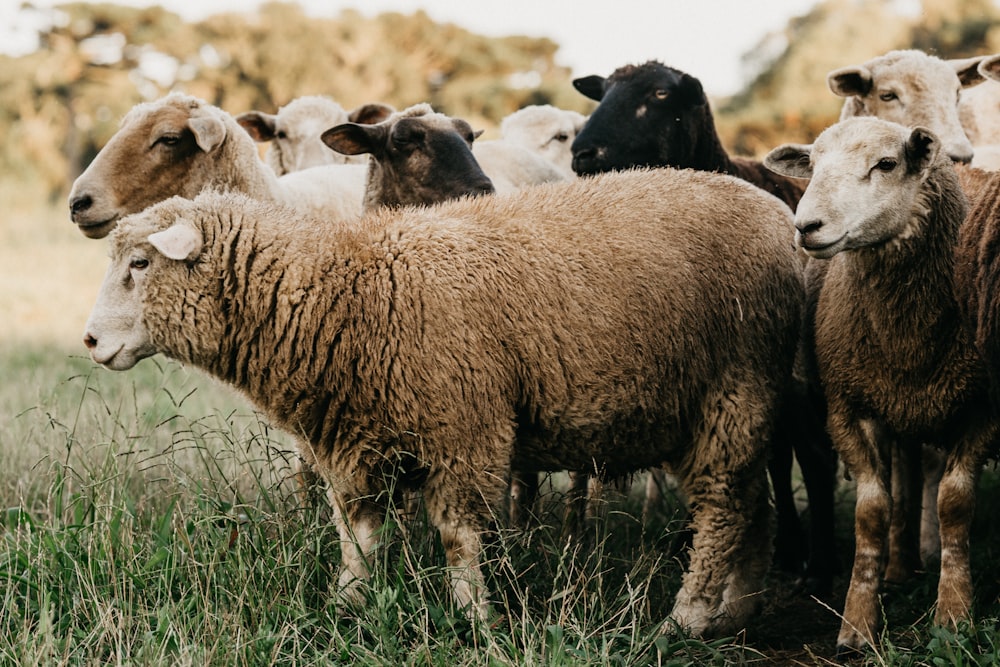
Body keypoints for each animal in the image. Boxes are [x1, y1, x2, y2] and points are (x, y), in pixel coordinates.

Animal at [84, 167, 804, 636]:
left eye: (141, 264)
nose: (90, 340)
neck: (350, 294)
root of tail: (779, 215)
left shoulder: (466, 430)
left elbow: (458, 536)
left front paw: (471, 616)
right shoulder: (352, 438)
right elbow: (358, 532)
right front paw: (350, 603)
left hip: (733, 390)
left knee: (724, 507)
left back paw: (688, 616)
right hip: (731, 405)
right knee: (755, 504)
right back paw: (736, 609)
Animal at [764, 117, 992, 656]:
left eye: (887, 164)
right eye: (813, 164)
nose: (806, 227)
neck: (906, 334)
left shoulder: (980, 408)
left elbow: (954, 505)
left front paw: (954, 616)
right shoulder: (850, 406)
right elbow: (872, 511)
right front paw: (857, 625)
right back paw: (898, 566)